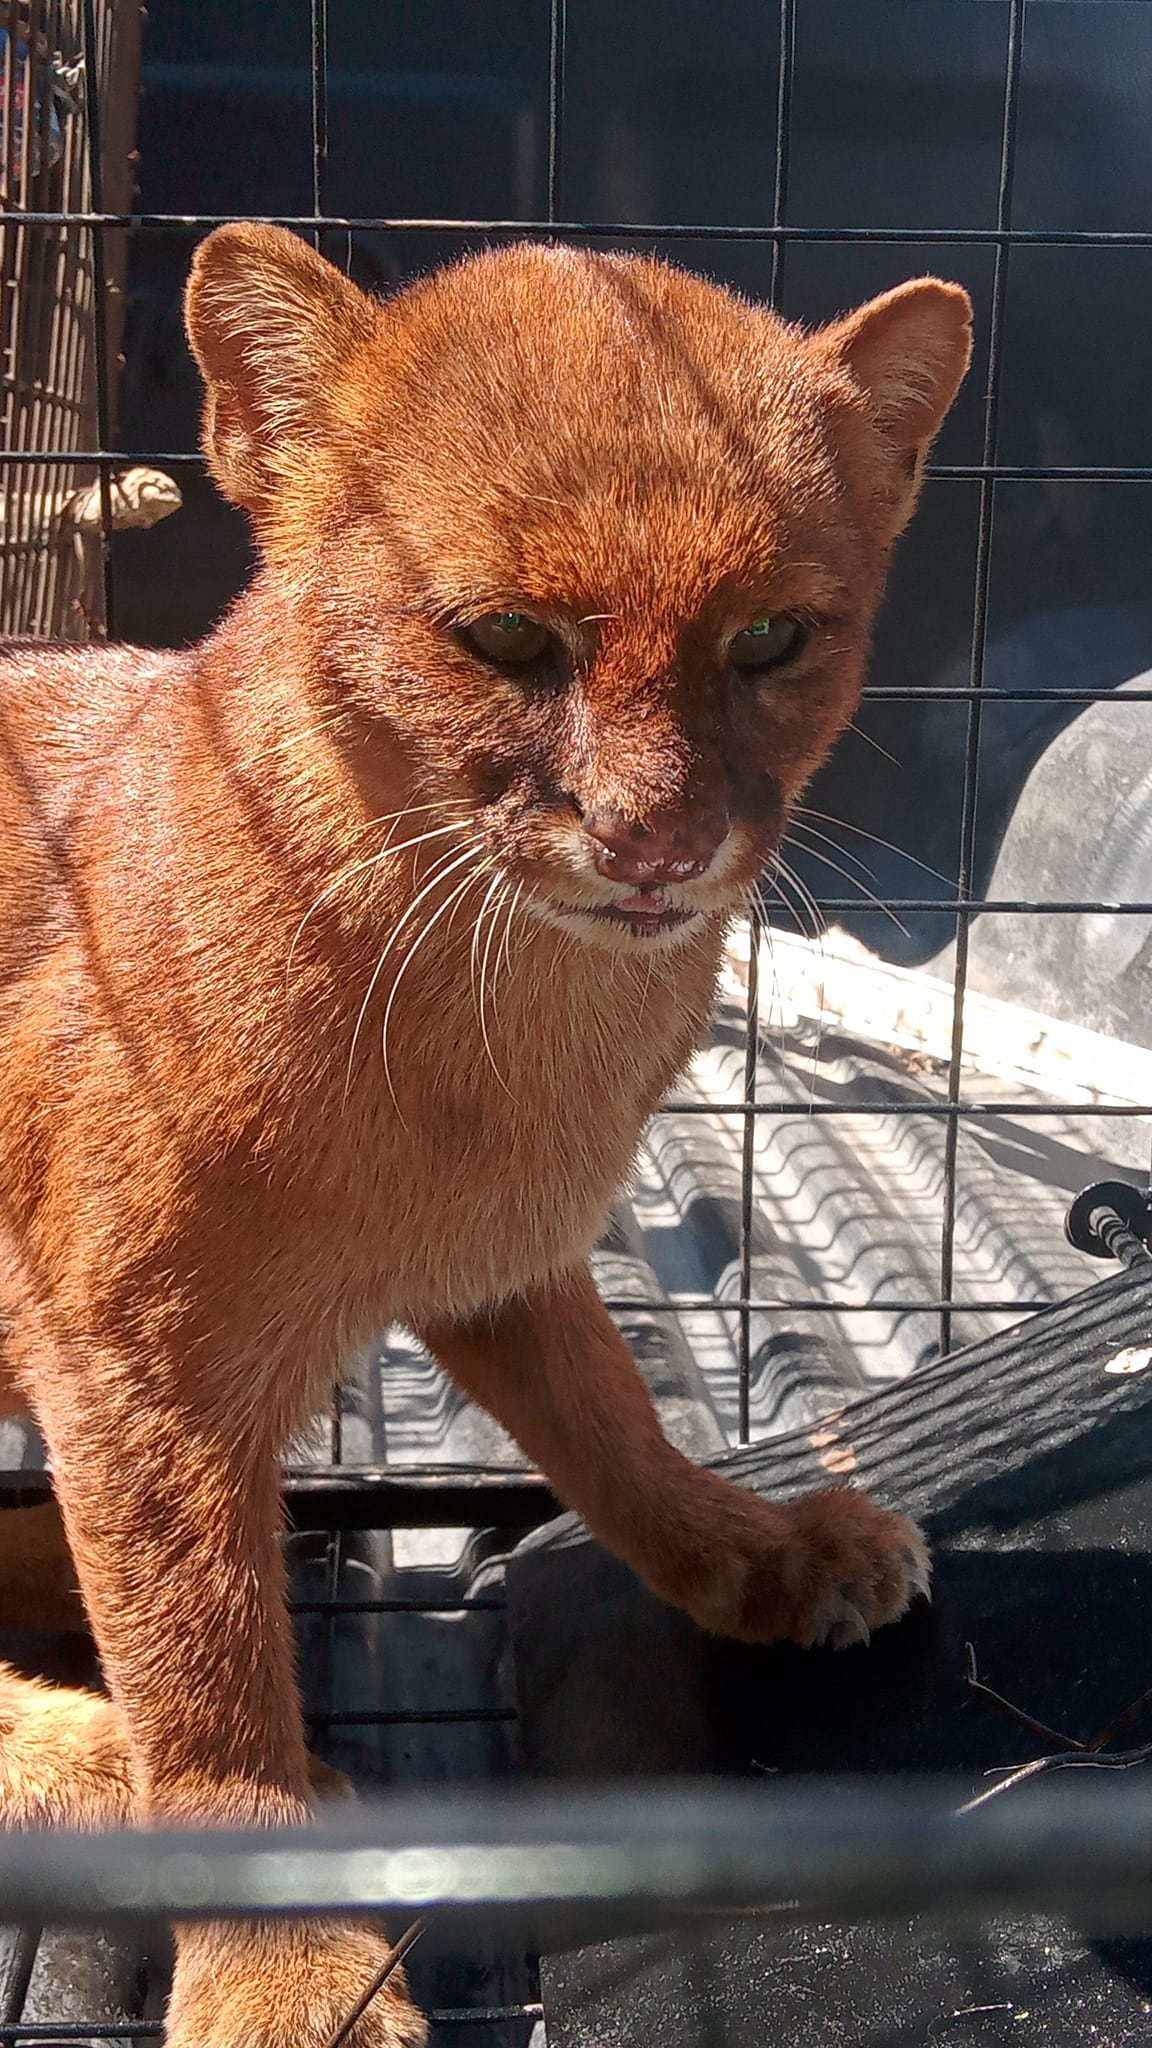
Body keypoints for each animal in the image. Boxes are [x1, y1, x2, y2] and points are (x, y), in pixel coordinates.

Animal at [0, 232, 967, 2039]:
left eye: (772, 635)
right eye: (507, 634)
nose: (656, 843)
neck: (506, 1023)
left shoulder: (506, 1261)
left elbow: (618, 1433)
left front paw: (761, 1553)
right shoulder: (133, 1359)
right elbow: (203, 1667)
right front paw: (278, 1961)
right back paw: (100, 1754)